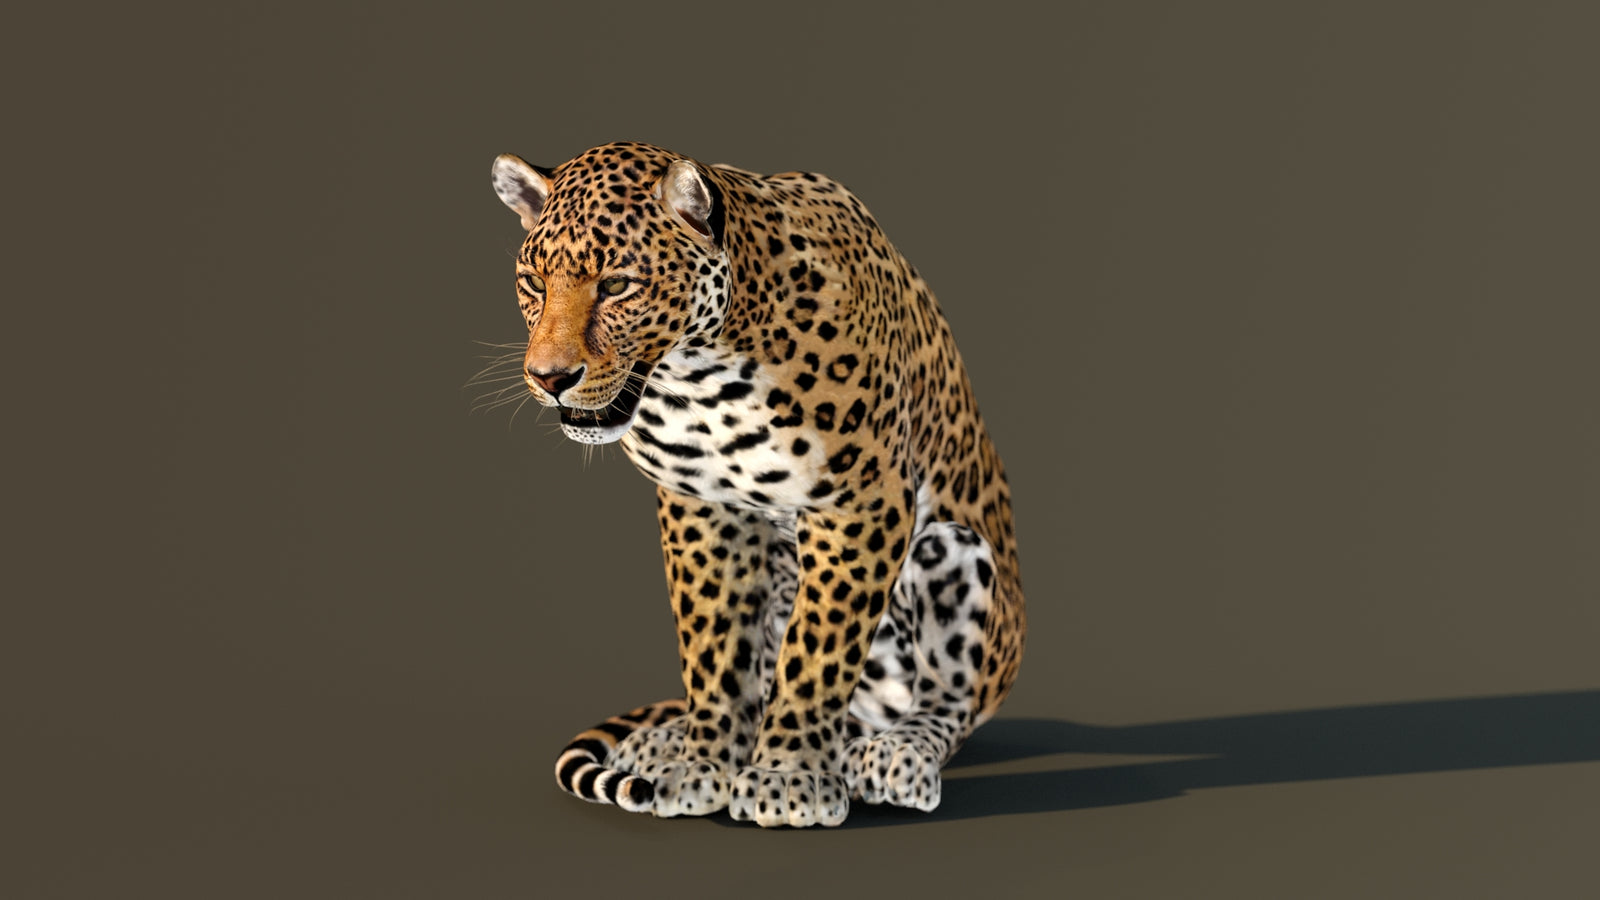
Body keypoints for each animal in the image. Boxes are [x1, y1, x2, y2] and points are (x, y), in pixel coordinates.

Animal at [486, 141, 1025, 827]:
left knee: (949, 699)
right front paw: (702, 762)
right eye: (534, 282)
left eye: (617, 285)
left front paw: (786, 777)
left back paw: (896, 754)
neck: (701, 377)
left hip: (954, 553)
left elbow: (818, 648)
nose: (549, 377)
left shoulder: (862, 503)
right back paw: (660, 742)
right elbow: (714, 646)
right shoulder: (703, 505)